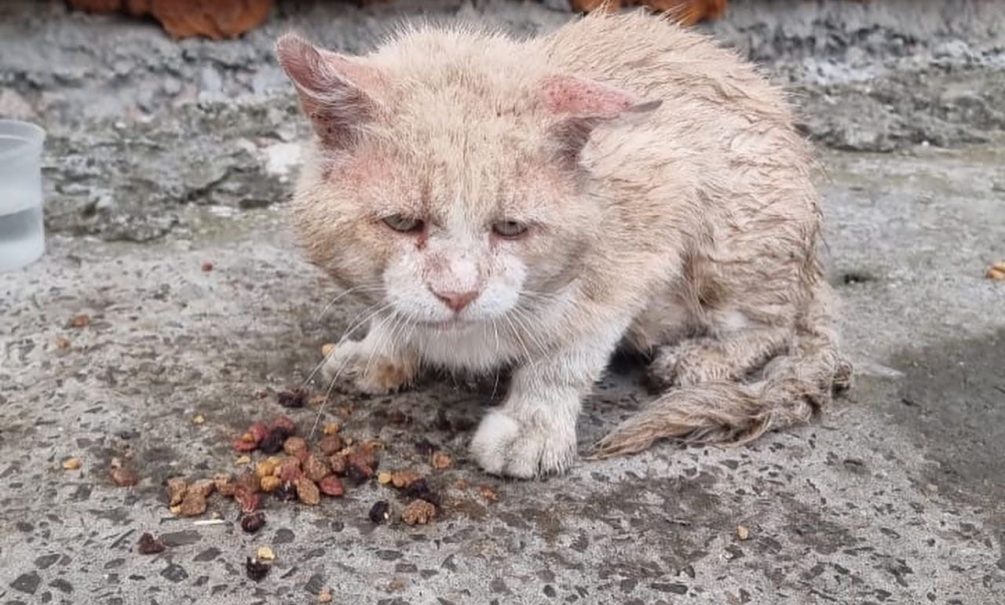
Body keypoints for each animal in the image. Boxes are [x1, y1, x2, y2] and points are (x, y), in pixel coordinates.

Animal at [273, 8, 848, 476]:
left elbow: (566, 355)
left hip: (732, 226)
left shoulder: (647, 233)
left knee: (775, 322)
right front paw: (382, 349)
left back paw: (702, 358)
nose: (458, 293)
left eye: (510, 228)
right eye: (401, 223)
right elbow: (393, 311)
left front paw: (533, 424)